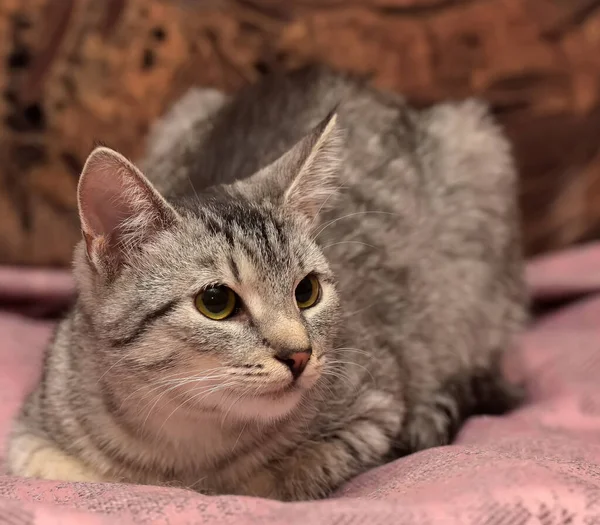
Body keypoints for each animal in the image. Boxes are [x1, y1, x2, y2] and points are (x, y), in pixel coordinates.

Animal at [7, 65, 528, 500]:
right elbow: (70, 470)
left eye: (307, 292)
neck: (182, 448)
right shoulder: (30, 435)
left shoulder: (373, 409)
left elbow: (274, 482)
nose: (299, 354)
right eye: (216, 301)